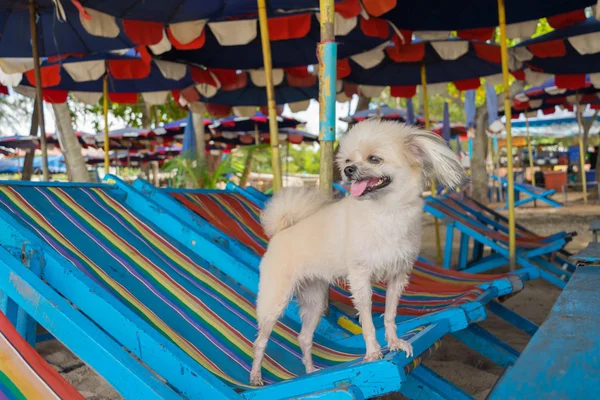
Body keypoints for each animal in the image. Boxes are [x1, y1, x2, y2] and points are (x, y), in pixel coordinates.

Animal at [248, 119, 464, 384]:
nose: (349, 170)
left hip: (315, 301)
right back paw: (255, 377)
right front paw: (372, 354)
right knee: (260, 342)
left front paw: (394, 343)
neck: (386, 212)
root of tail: (281, 232)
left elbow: (390, 315)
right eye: (349, 161)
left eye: (374, 159)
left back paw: (309, 372)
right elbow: (368, 322)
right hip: (274, 302)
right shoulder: (361, 278)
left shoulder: (398, 277)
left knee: (304, 337)